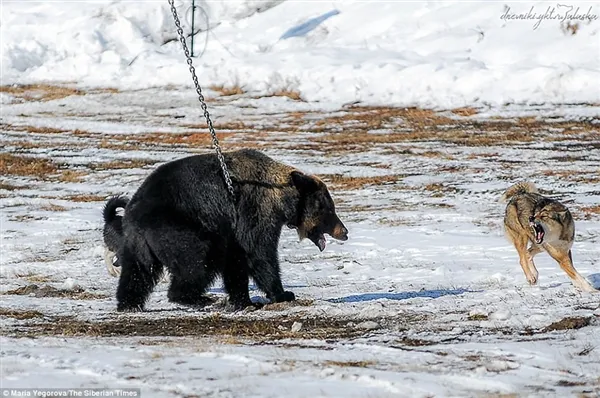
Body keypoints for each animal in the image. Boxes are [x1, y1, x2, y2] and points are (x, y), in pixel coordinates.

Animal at [102, 148, 346, 310]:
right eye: (328, 209)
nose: (344, 231)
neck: (280, 197)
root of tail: (134, 213)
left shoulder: (232, 229)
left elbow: (236, 262)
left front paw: (243, 300)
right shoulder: (254, 211)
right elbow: (259, 253)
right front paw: (282, 293)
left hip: (138, 243)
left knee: (138, 272)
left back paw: (129, 303)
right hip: (174, 227)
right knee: (198, 258)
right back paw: (196, 298)